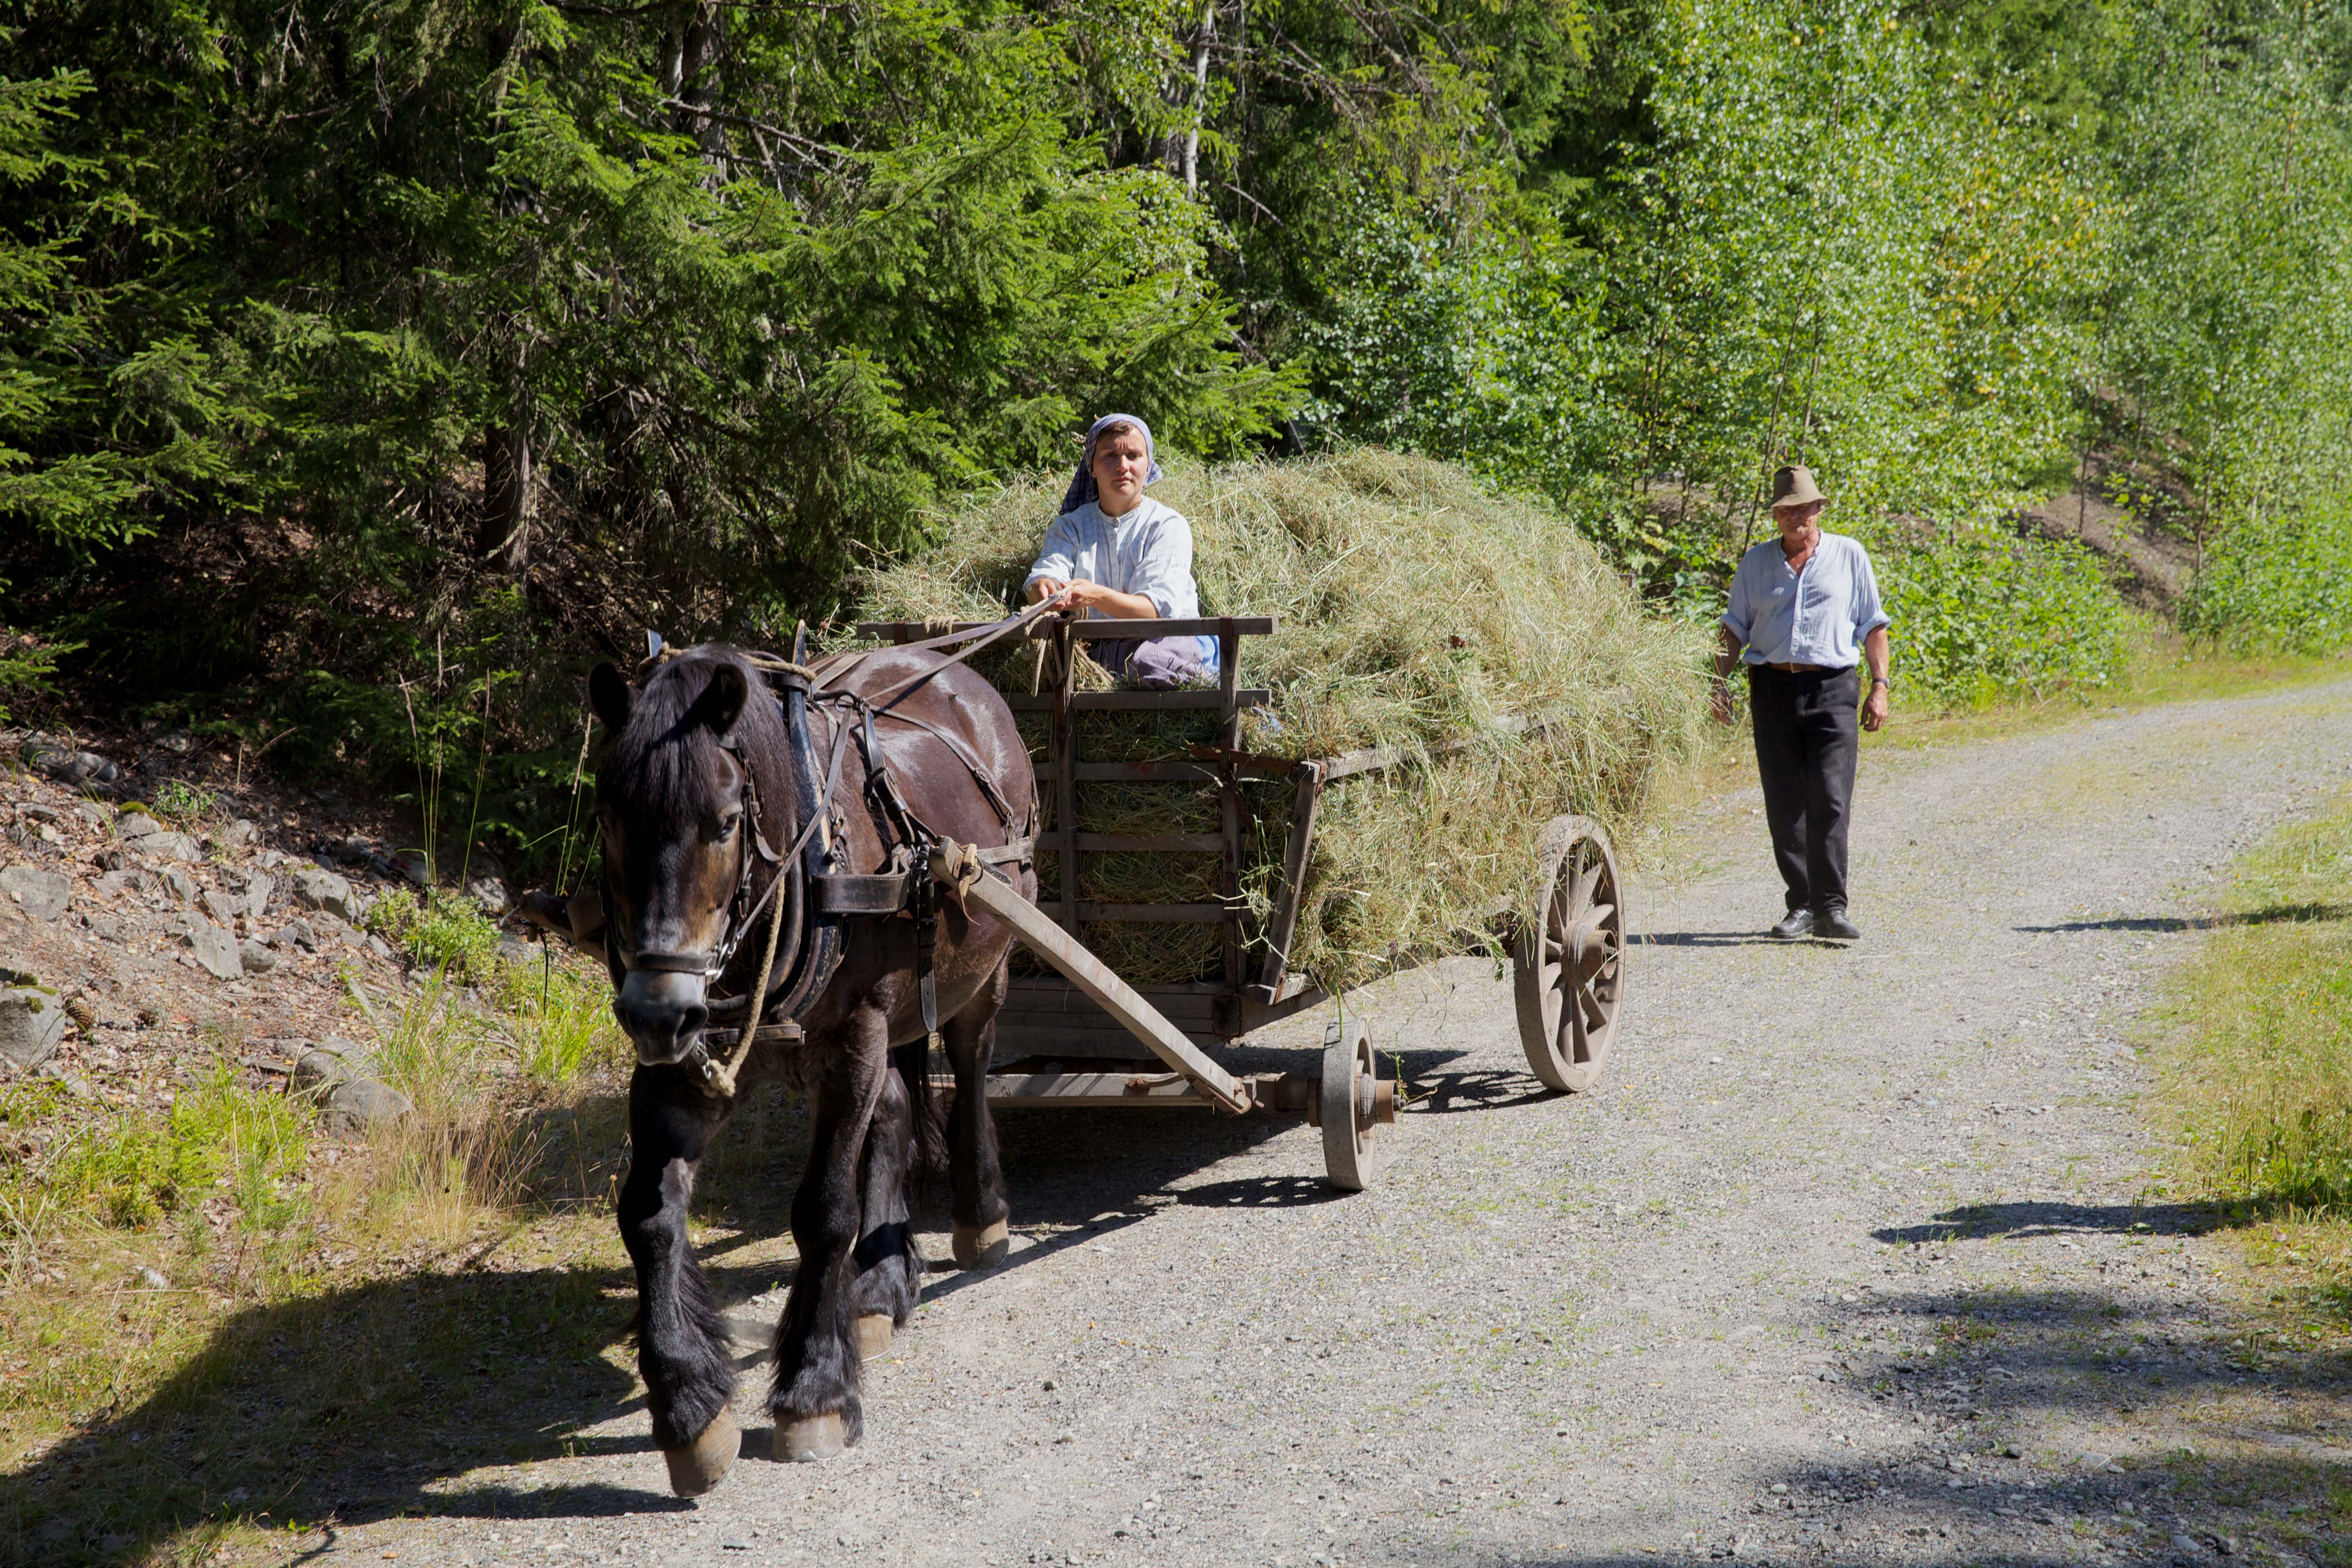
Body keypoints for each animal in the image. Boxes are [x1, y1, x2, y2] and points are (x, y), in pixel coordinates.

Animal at [583, 639, 1035, 1495]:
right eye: (611, 820)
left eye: (726, 822)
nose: (658, 1011)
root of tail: (945, 663)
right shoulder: (681, 1062)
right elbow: (648, 1217)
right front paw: (690, 1405)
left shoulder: (853, 1037)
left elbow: (825, 1210)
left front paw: (816, 1387)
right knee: (895, 1108)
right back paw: (882, 1285)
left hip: (983, 964)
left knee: (970, 1064)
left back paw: (981, 1213)